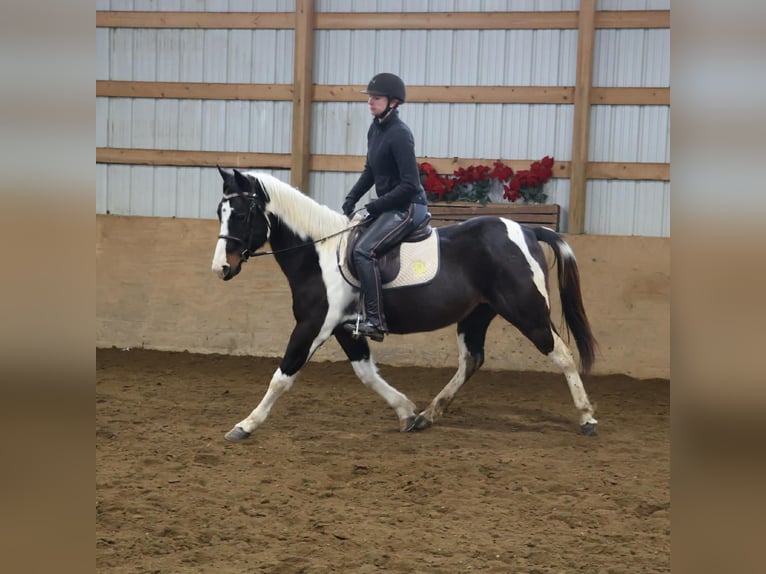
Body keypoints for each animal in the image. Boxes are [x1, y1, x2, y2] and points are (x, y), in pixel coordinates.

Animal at [211, 168, 599, 440]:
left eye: (241, 214)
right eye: (220, 211)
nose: (221, 268)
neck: (318, 254)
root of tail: (528, 230)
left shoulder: (312, 325)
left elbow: (282, 376)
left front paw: (244, 425)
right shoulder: (345, 329)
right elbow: (367, 374)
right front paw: (407, 412)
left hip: (527, 311)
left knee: (562, 355)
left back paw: (587, 417)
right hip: (476, 315)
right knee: (471, 359)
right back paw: (429, 414)